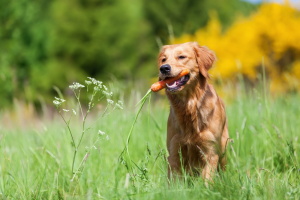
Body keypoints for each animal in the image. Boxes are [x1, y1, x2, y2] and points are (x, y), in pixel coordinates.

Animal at [158, 41, 229, 181]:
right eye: (163, 59)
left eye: (181, 57)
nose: (164, 68)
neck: (189, 106)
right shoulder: (174, 151)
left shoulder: (210, 151)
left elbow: (207, 180)